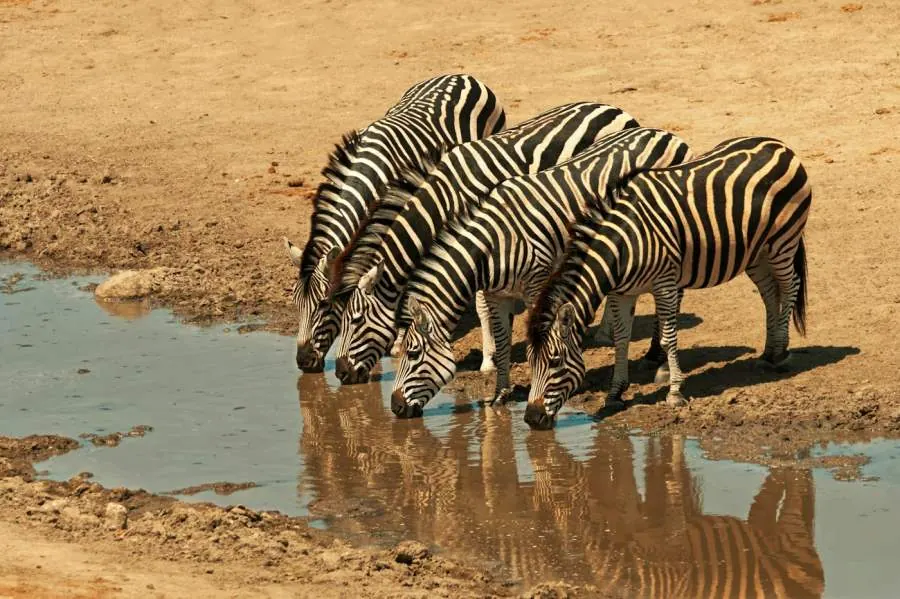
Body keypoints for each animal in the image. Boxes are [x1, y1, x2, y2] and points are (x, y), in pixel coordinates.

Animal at [284, 74, 505, 372]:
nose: (304, 362)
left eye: (323, 305)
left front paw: (398, 339)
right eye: (296, 304)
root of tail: (461, 76)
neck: (367, 177)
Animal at [328, 102, 640, 386]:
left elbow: (479, 306)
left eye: (355, 320)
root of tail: (615, 109)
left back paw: (604, 331)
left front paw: (488, 359)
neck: (445, 201)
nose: (341, 373)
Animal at [390, 128, 693, 417]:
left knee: (674, 294)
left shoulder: (536, 283)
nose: (395, 408)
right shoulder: (498, 294)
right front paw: (501, 395)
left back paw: (659, 359)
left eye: (413, 353)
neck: (494, 245)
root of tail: (666, 134)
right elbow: (503, 342)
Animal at [524, 136, 811, 429]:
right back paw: (768, 352)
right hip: (756, 252)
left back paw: (780, 353)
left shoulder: (665, 284)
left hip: (782, 241)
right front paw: (615, 394)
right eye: (530, 361)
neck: (622, 245)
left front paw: (674, 392)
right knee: (769, 293)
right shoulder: (621, 293)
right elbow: (622, 339)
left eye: (555, 361)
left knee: (790, 287)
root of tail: (777, 144)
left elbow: (669, 337)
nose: (531, 419)